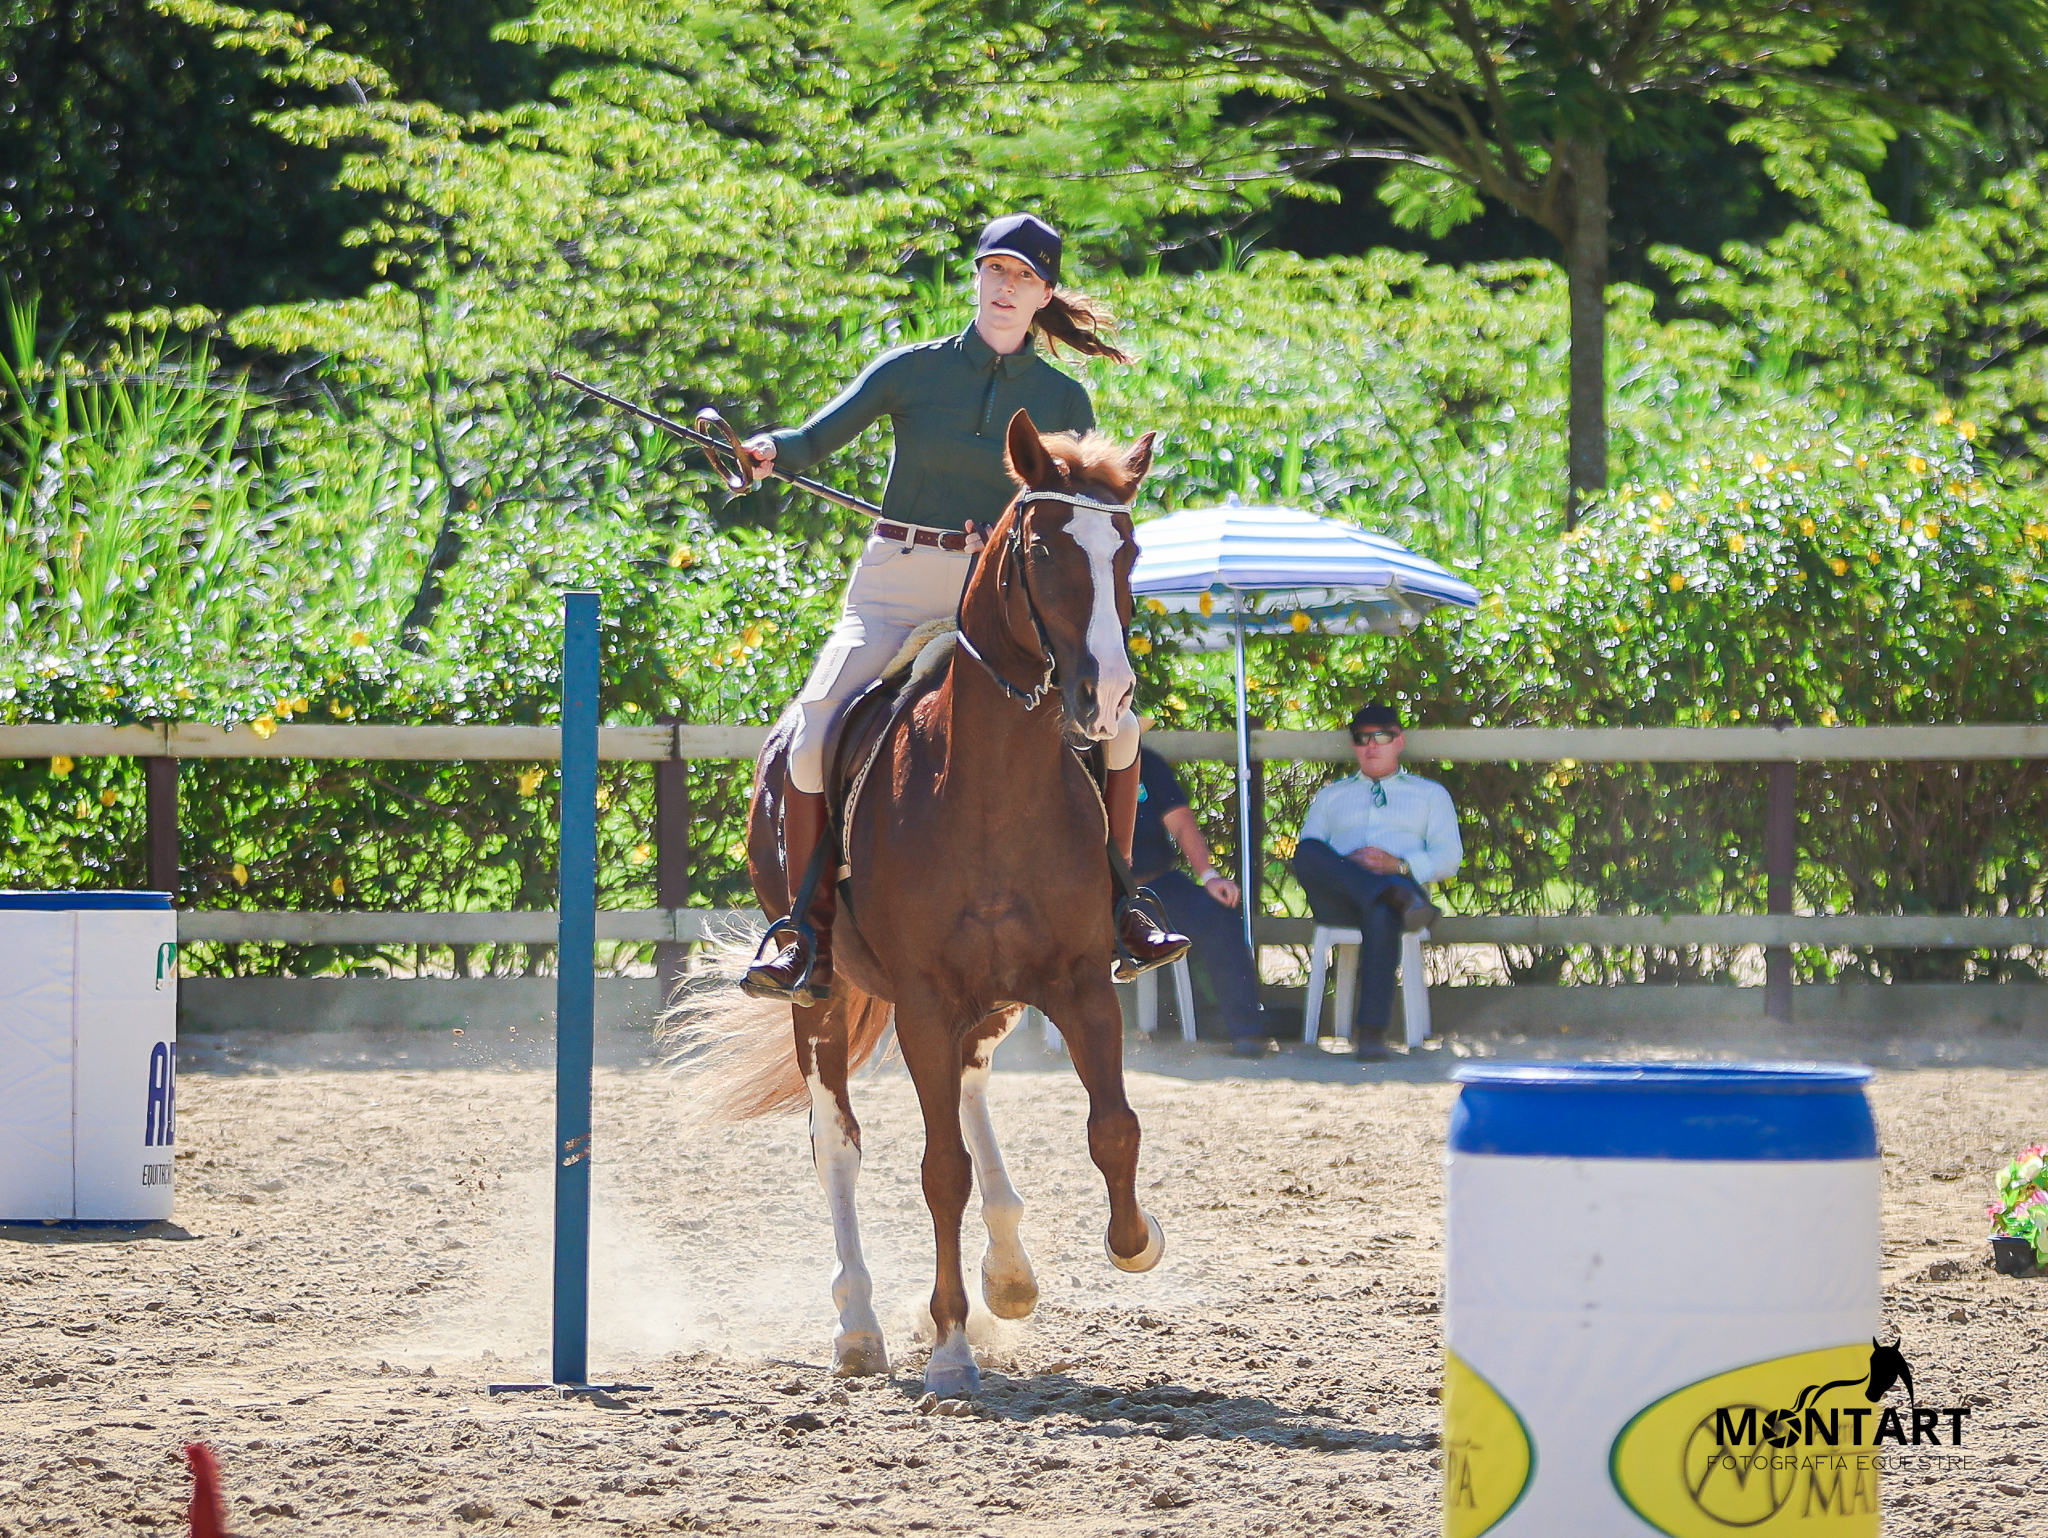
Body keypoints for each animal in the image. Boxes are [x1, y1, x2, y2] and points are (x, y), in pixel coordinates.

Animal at [692, 408, 1165, 1397]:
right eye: (1042, 547)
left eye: (1129, 551)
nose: (1106, 698)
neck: (995, 786)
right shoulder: (920, 1001)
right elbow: (938, 1169)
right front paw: (949, 1345)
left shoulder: (1078, 982)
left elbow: (1112, 1127)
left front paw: (1133, 1244)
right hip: (823, 1000)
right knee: (837, 1142)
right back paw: (860, 1329)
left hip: (993, 1001)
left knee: (977, 1089)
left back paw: (1009, 1274)